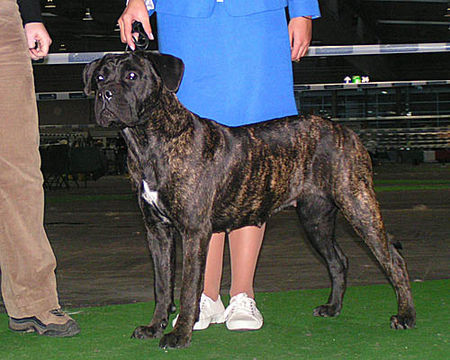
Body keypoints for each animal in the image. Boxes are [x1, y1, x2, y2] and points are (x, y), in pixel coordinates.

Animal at [83, 51, 414, 348]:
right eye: (99, 77)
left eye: (132, 76)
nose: (106, 94)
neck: (150, 142)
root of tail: (347, 130)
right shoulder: (157, 232)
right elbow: (162, 285)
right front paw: (154, 327)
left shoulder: (193, 232)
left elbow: (188, 287)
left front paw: (180, 335)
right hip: (315, 220)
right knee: (338, 260)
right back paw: (332, 308)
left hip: (358, 205)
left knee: (393, 259)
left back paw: (406, 316)